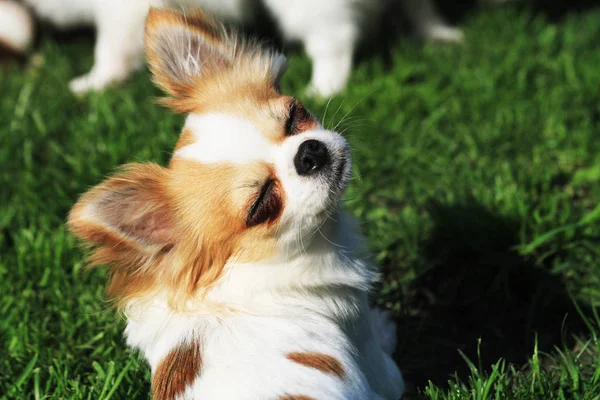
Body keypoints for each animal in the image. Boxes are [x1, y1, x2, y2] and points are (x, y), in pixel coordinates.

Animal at [70, 7, 406, 400]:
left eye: (295, 115)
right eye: (261, 205)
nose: (309, 153)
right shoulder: (366, 347)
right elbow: (389, 368)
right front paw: (387, 329)